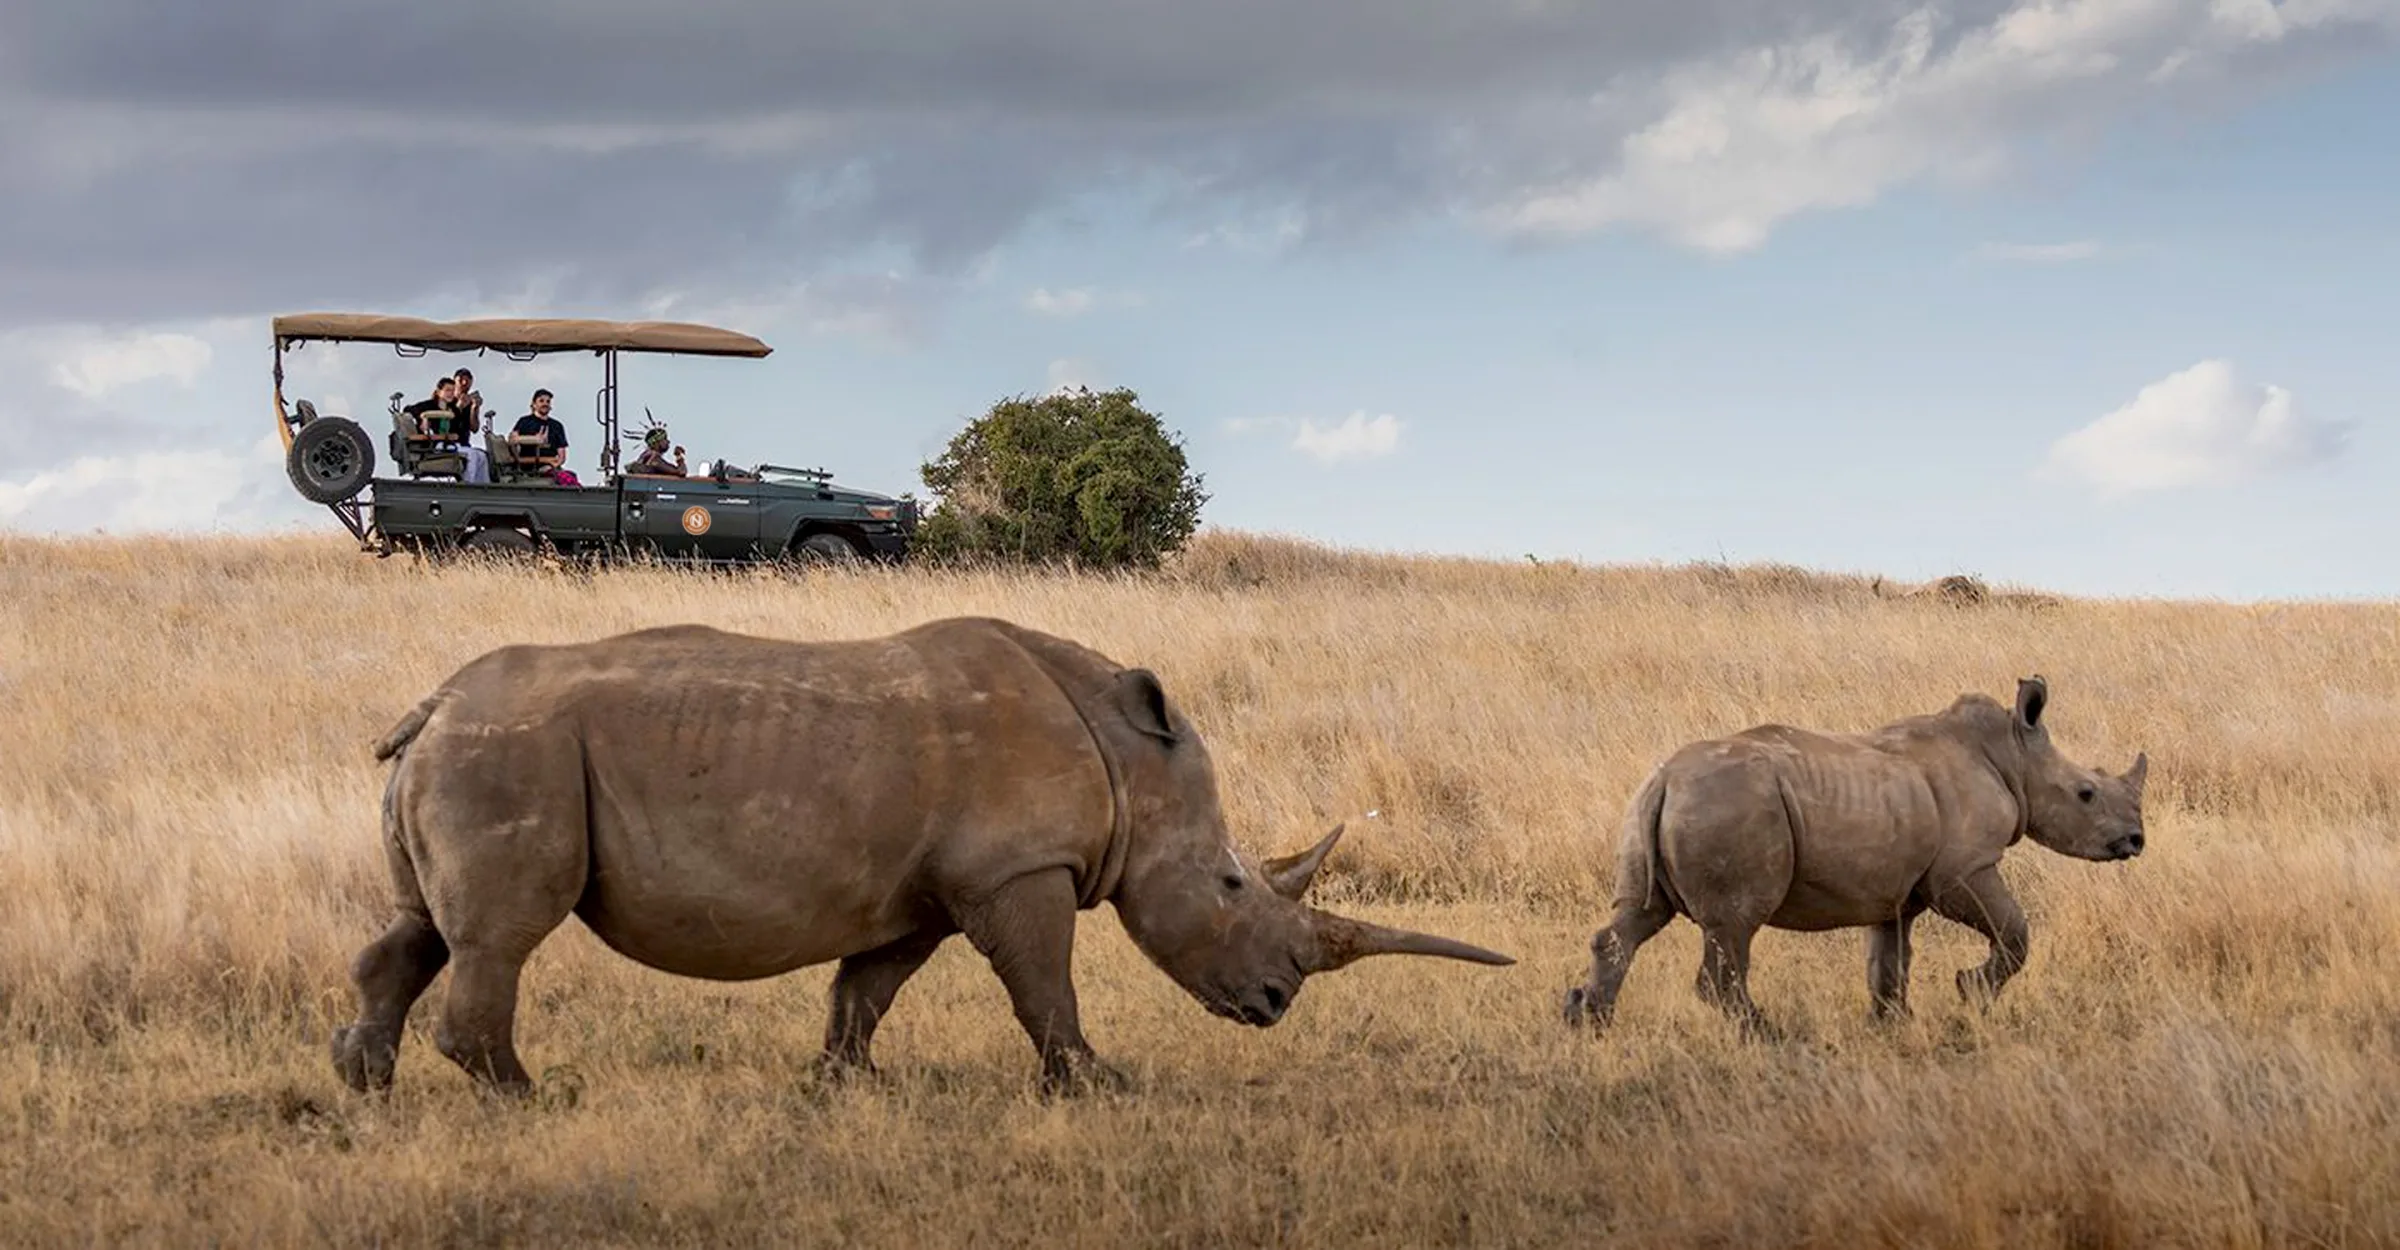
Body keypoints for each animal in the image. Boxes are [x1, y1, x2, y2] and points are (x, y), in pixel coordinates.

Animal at [330, 616, 1513, 1098]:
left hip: (477, 751)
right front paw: (1098, 1084)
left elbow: (867, 989)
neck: (1127, 760)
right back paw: (530, 1099)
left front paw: (842, 1084)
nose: (1273, 1003)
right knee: (498, 936)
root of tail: (431, 704)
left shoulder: (922, 894)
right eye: (1231, 882)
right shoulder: (1018, 870)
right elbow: (1045, 987)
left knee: (422, 928)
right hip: (513, 755)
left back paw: (365, 1083)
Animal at [1562, 676, 2146, 1036]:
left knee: (1638, 917)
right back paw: (1770, 1035)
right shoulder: (1964, 870)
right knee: (1733, 928)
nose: (2136, 840)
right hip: (1728, 806)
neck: (2014, 756)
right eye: (2086, 793)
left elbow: (1889, 963)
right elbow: (2015, 931)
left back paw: (1587, 1022)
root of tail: (1664, 781)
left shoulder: (1894, 890)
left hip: (1658, 809)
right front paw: (1970, 993)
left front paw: (1892, 1025)